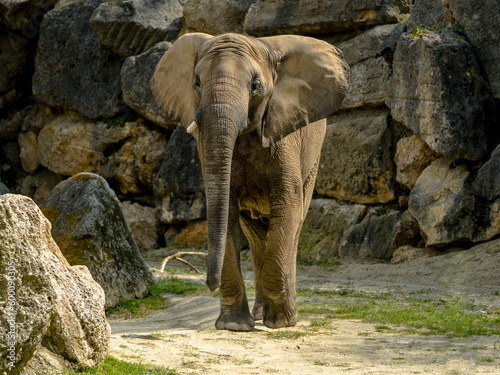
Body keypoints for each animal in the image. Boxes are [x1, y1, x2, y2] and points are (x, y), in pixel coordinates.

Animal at [150, 32, 350, 332]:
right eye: (196, 83)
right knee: (256, 235)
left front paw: (280, 323)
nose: (209, 284)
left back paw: (283, 316)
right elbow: (226, 211)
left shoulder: (284, 135)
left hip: (313, 159)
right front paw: (234, 326)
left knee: (293, 226)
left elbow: (287, 205)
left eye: (255, 86)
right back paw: (258, 314)